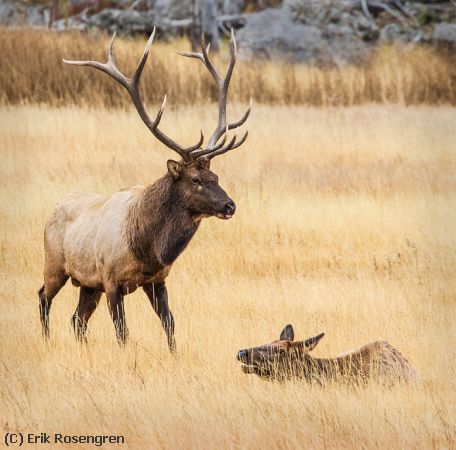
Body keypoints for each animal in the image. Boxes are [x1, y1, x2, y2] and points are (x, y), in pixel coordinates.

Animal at [39, 28, 251, 354]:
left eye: (215, 175)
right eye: (196, 180)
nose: (230, 206)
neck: (148, 248)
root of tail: (53, 208)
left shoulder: (157, 280)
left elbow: (170, 323)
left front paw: (174, 355)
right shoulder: (111, 279)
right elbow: (122, 331)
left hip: (87, 283)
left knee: (76, 319)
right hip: (55, 264)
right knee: (43, 297)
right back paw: (46, 340)